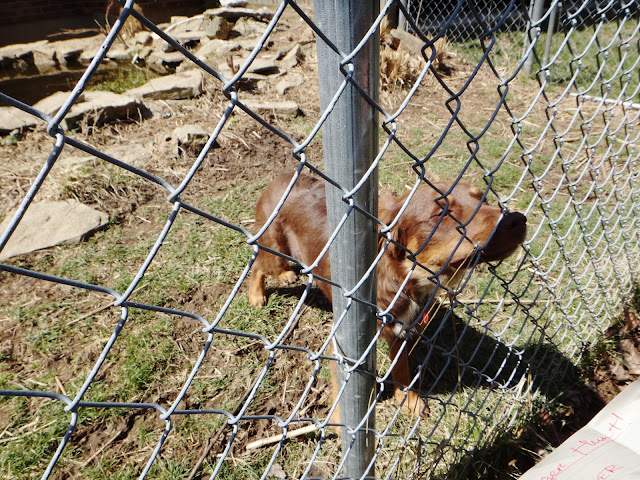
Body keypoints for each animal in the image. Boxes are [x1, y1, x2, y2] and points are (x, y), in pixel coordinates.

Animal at [248, 172, 526, 415]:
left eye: (484, 199)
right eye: (442, 213)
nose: (517, 220)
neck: (405, 282)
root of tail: (284, 176)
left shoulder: (401, 331)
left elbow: (402, 370)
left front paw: (408, 400)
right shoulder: (345, 343)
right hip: (275, 250)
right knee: (257, 261)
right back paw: (256, 294)